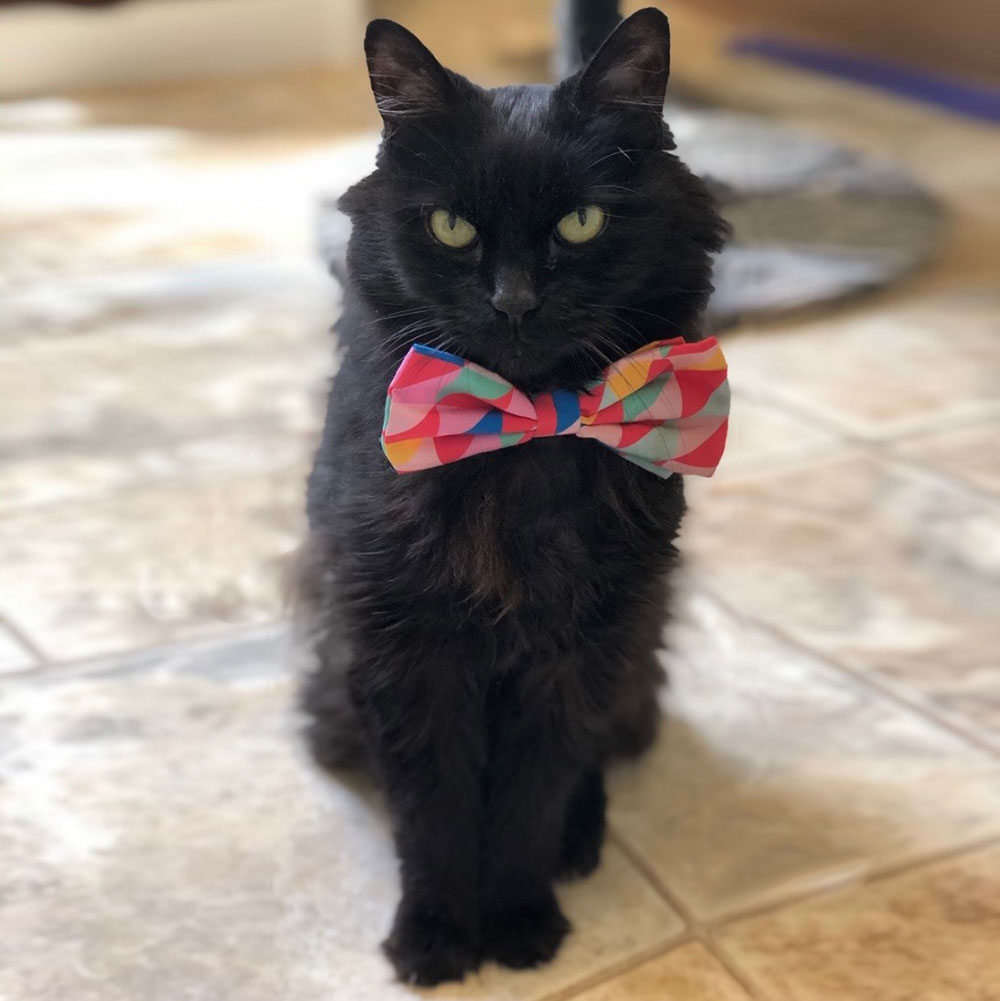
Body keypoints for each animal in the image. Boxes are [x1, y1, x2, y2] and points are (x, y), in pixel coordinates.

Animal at [298, 7, 726, 986]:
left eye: (582, 222)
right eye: (452, 227)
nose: (516, 302)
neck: (521, 440)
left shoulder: (581, 645)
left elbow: (532, 795)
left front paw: (523, 921)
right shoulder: (404, 645)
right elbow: (436, 813)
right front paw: (434, 937)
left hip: (637, 641)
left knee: (600, 755)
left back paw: (581, 840)